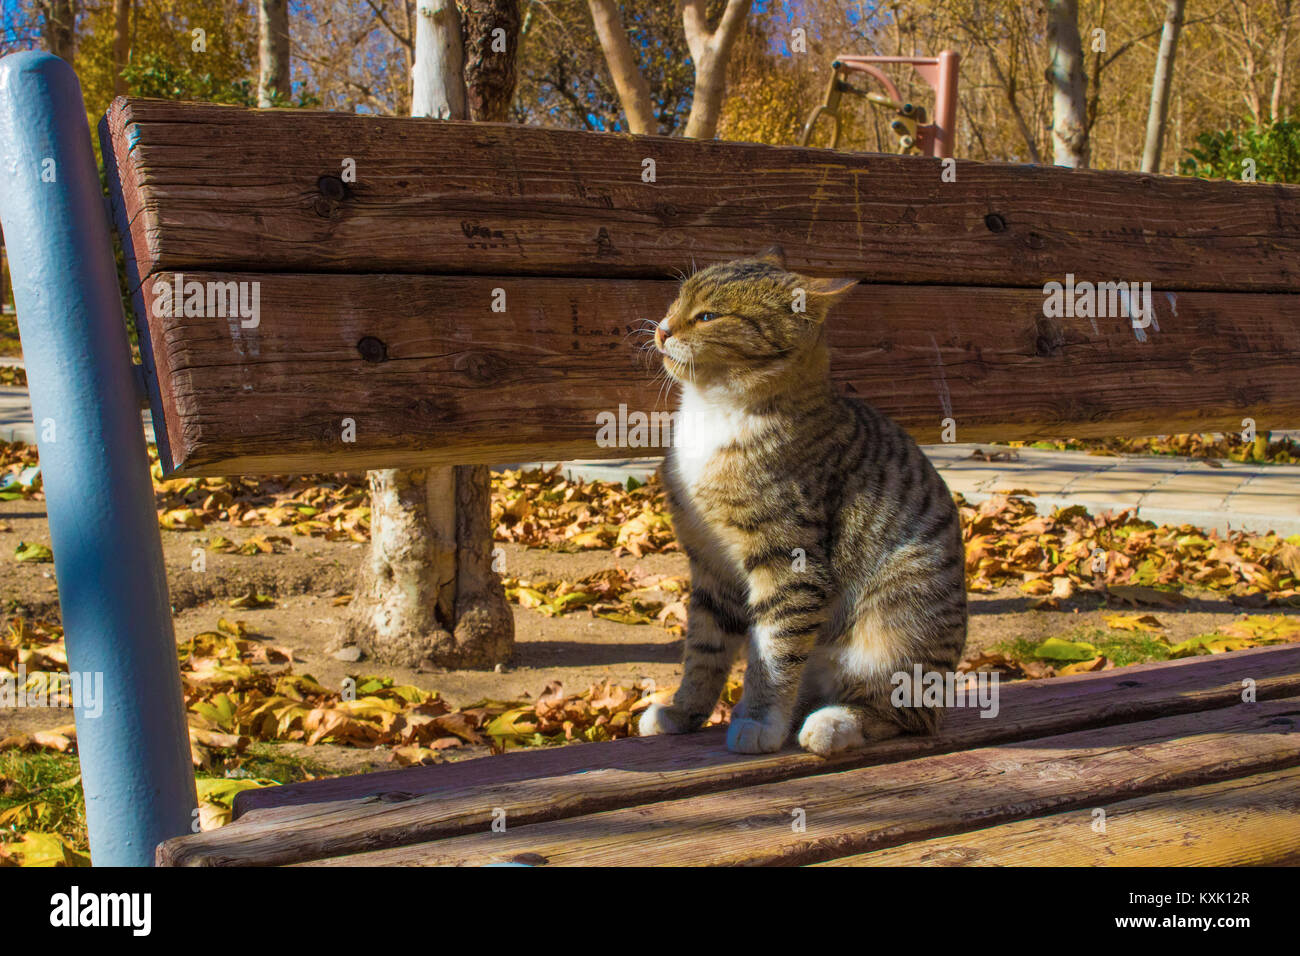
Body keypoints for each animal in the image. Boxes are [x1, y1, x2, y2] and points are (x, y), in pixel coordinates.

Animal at [639, 247, 967, 754]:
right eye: (676, 301)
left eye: (708, 316)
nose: (661, 328)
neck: (714, 415)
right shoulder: (711, 568)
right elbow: (704, 651)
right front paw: (682, 712)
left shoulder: (790, 563)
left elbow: (773, 655)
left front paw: (758, 722)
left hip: (898, 626)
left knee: (908, 715)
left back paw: (833, 723)